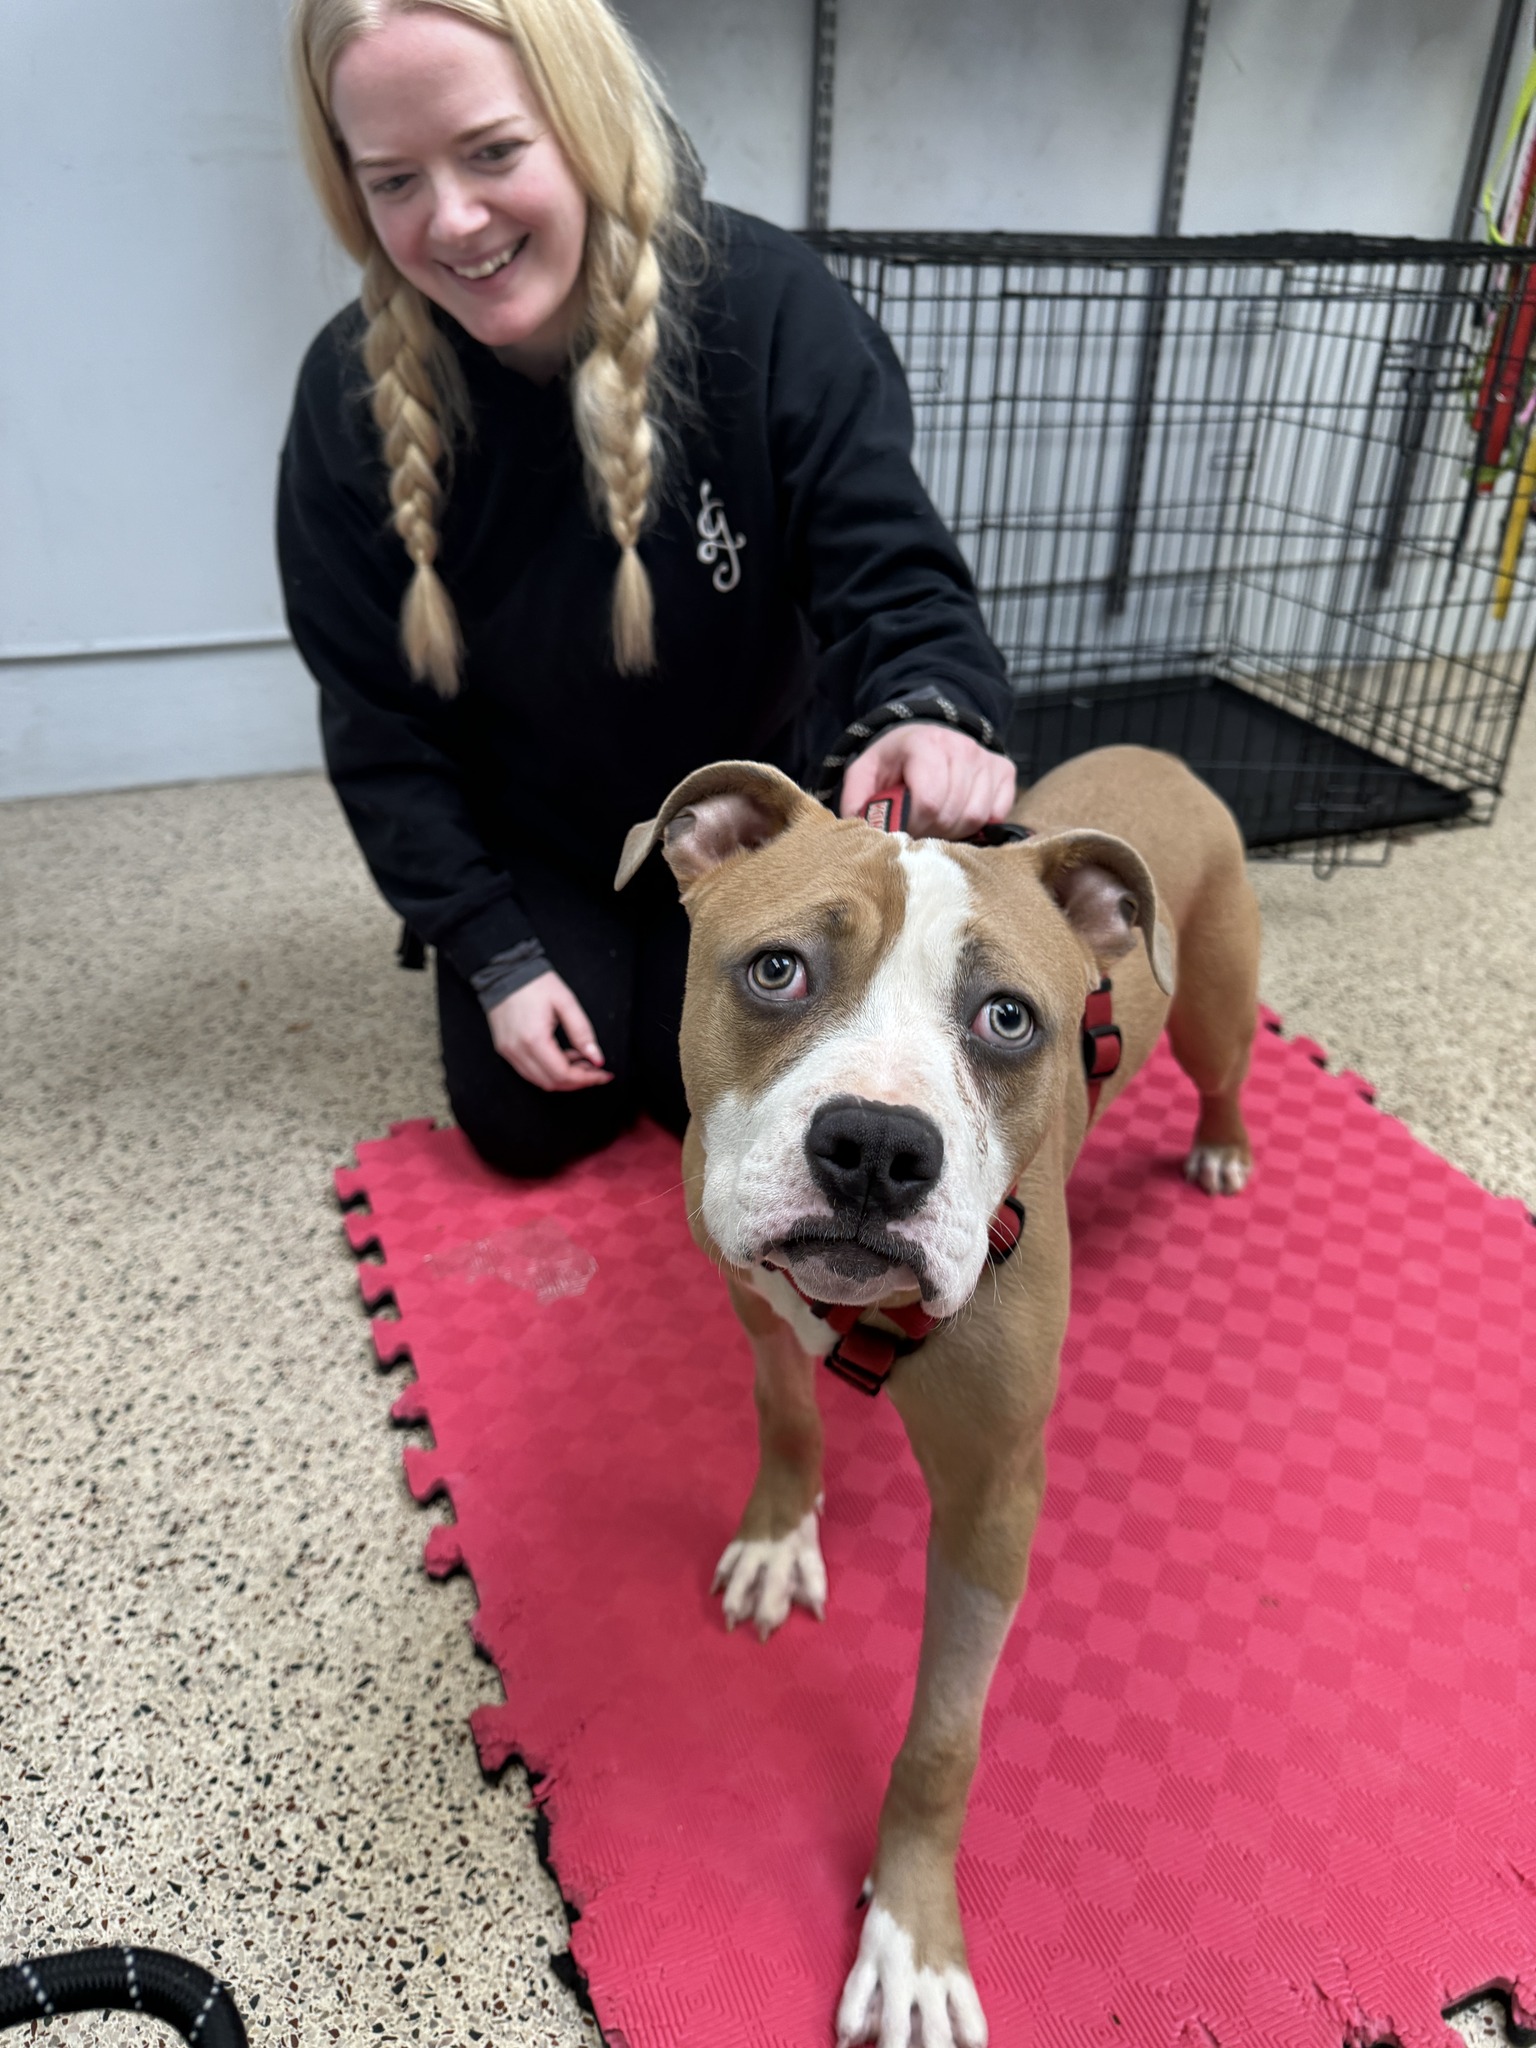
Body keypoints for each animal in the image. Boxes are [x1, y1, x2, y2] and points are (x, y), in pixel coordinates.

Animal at [614, 749, 1261, 2048]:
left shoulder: (992, 1497)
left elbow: (942, 1743)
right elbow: (788, 1418)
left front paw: (911, 1934)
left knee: (1224, 1067)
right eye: (777, 968)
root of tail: (1163, 754)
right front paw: (780, 1537)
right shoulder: (756, 1306)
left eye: (1007, 1018)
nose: (874, 1145)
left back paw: (1220, 1145)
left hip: (1216, 1001)